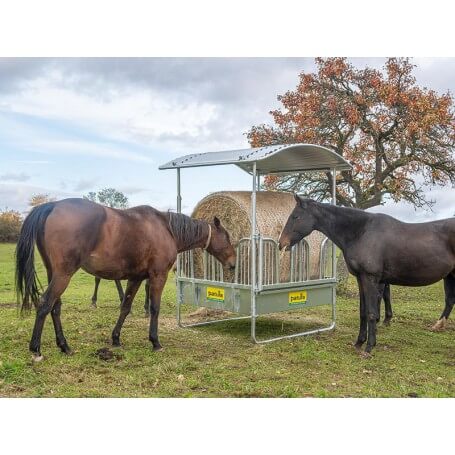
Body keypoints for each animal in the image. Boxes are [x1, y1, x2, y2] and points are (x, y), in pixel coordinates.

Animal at [16, 198, 237, 362]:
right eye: (227, 238)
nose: (233, 264)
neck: (166, 229)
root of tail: (52, 205)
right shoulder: (158, 276)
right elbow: (154, 308)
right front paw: (155, 341)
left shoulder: (136, 278)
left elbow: (125, 307)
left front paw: (115, 339)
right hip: (63, 275)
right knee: (45, 304)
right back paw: (36, 350)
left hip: (54, 273)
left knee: (55, 307)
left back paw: (64, 346)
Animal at [280, 196, 455, 356]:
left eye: (295, 216)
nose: (282, 243)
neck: (361, 232)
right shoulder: (361, 278)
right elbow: (363, 311)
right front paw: (359, 342)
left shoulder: (370, 278)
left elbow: (371, 312)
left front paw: (369, 347)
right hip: (450, 276)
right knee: (449, 301)